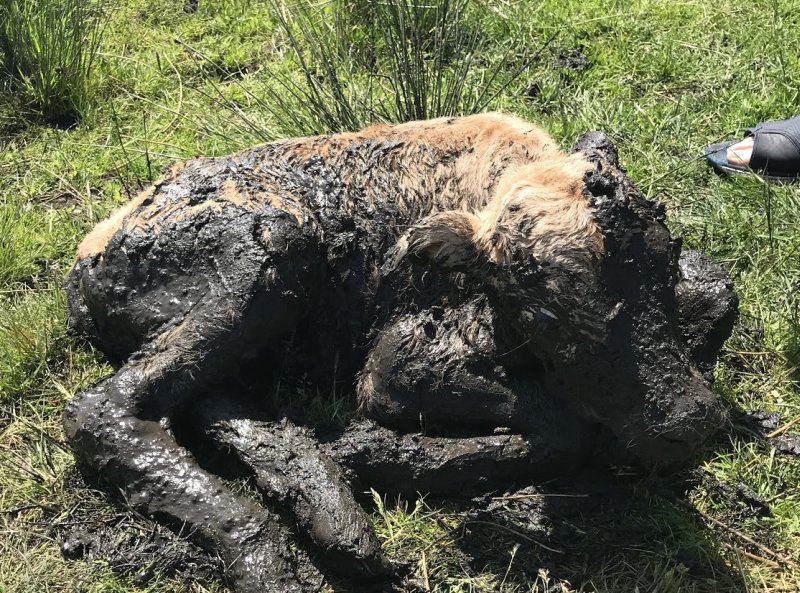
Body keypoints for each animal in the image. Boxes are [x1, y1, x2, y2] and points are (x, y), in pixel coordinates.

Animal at [62, 113, 736, 588]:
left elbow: (721, 293)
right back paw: (270, 556)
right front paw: (380, 450)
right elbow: (567, 427)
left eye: (667, 255)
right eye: (545, 309)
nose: (685, 422)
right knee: (104, 408)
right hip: (269, 251)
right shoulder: (399, 360)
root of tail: (85, 261)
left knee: (215, 401)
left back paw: (335, 516)